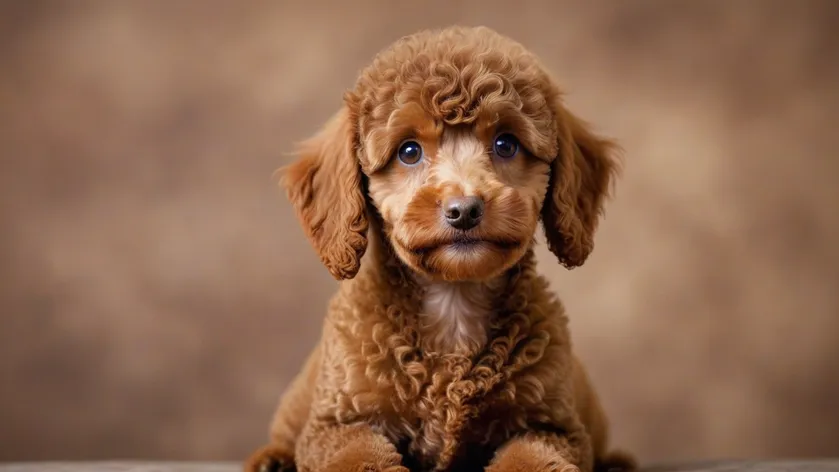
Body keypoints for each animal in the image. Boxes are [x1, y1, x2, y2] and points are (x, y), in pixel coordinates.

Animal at [248, 24, 636, 472]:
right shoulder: (337, 423)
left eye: (506, 144)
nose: (464, 210)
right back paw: (272, 459)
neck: (453, 301)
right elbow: (360, 453)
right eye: (409, 151)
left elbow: (529, 456)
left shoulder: (552, 426)